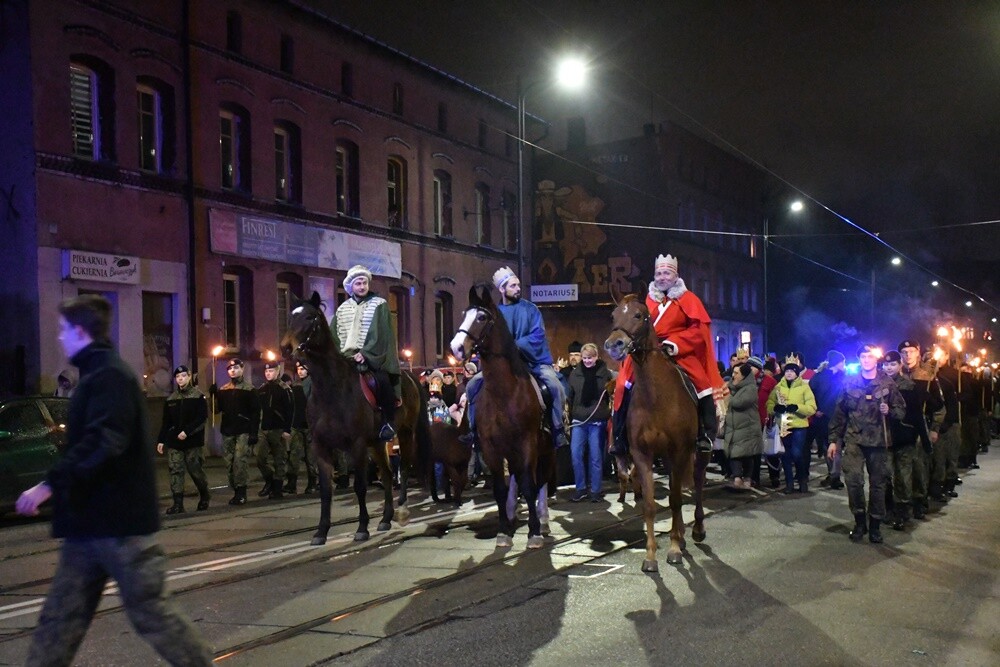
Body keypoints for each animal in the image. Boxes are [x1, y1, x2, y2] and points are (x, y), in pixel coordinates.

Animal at [280, 290, 428, 544]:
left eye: (310, 317)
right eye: (291, 316)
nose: (286, 348)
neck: (332, 389)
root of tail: (410, 376)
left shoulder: (356, 445)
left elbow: (359, 485)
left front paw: (362, 527)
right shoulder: (321, 447)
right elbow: (326, 490)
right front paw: (321, 531)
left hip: (405, 433)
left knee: (404, 467)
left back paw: (401, 510)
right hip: (377, 444)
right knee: (387, 475)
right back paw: (386, 518)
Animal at [448, 284, 552, 552]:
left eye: (482, 318)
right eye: (463, 314)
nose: (456, 347)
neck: (505, 393)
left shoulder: (527, 444)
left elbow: (529, 487)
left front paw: (534, 532)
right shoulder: (491, 449)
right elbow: (499, 489)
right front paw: (504, 530)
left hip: (546, 449)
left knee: (541, 482)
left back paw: (544, 521)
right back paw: (513, 515)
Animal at [596, 284, 708, 572]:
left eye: (638, 315)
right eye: (613, 316)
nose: (614, 345)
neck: (656, 397)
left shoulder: (679, 451)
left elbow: (676, 500)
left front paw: (674, 549)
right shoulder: (642, 454)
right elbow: (649, 505)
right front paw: (651, 556)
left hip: (697, 452)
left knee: (697, 484)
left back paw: (696, 530)